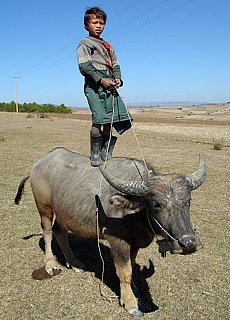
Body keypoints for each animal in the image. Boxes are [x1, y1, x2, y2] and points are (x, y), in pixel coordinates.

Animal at [14, 148, 207, 318]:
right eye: (156, 204)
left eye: (188, 201)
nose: (189, 243)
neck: (135, 213)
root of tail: (39, 163)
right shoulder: (117, 242)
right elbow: (125, 272)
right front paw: (131, 304)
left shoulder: (134, 243)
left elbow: (132, 267)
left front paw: (134, 288)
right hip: (44, 208)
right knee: (47, 233)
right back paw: (50, 265)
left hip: (64, 213)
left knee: (59, 232)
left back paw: (75, 263)